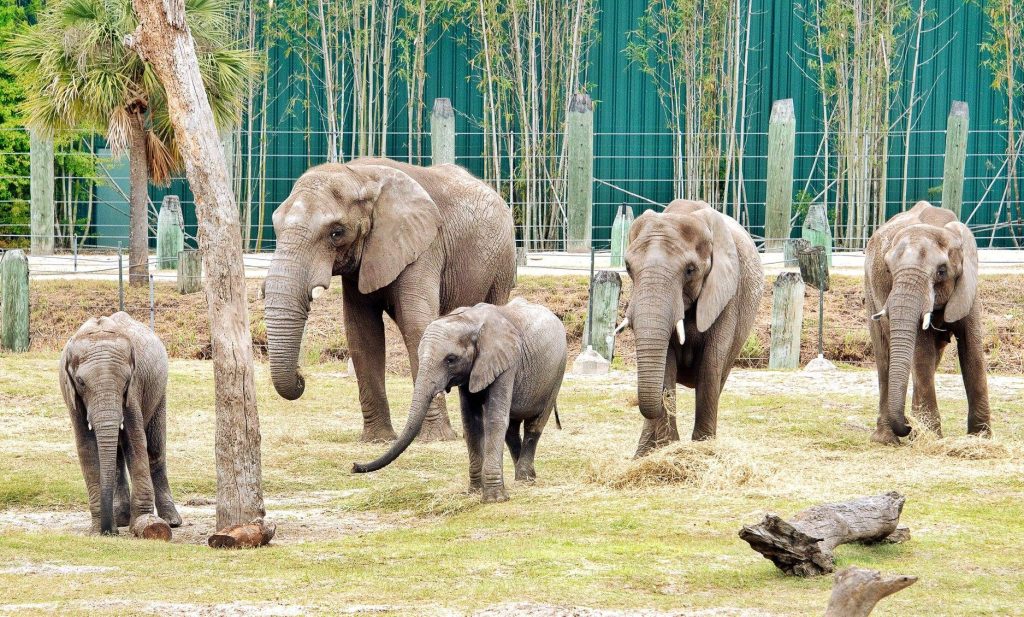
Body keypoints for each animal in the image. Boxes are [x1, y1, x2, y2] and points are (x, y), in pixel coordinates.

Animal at [58, 312, 181, 535]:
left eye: (125, 381)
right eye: (80, 382)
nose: (109, 532)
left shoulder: (134, 388)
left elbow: (136, 440)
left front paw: (141, 522)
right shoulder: (68, 391)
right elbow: (86, 446)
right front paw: (98, 530)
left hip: (160, 392)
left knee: (154, 449)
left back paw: (171, 521)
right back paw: (121, 518)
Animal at [264, 158, 516, 443]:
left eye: (336, 233)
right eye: (276, 227)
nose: (301, 377)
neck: (359, 176)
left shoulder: (424, 248)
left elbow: (417, 326)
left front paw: (435, 439)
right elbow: (362, 333)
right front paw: (378, 440)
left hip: (502, 263)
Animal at [352, 298, 567, 503]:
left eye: (450, 359)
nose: (354, 466)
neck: (468, 320)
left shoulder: (506, 362)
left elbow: (495, 419)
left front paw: (494, 499)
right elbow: (471, 422)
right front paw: (474, 491)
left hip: (557, 373)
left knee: (534, 425)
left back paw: (525, 479)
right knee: (512, 430)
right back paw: (522, 477)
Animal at [619, 199, 763, 457]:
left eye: (690, 270)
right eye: (627, 267)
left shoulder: (728, 293)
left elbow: (710, 364)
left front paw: (703, 450)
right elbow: (665, 364)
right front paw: (668, 448)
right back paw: (642, 455)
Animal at [864, 200, 990, 444]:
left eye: (941, 271)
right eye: (888, 270)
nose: (906, 424)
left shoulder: (968, 286)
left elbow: (972, 349)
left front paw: (981, 438)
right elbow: (921, 352)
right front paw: (931, 437)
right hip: (869, 288)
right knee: (884, 357)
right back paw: (887, 438)